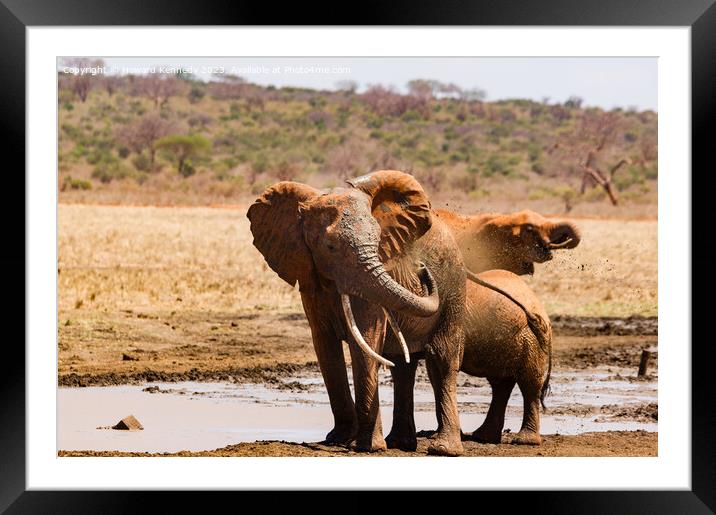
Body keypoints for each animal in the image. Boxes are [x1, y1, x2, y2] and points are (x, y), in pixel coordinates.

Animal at [249, 169, 468, 456]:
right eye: (330, 247)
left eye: (377, 240)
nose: (421, 270)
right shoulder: (311, 277)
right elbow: (325, 347)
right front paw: (337, 440)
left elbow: (365, 340)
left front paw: (367, 447)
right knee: (403, 367)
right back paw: (400, 443)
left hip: (455, 289)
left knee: (442, 360)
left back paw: (443, 449)